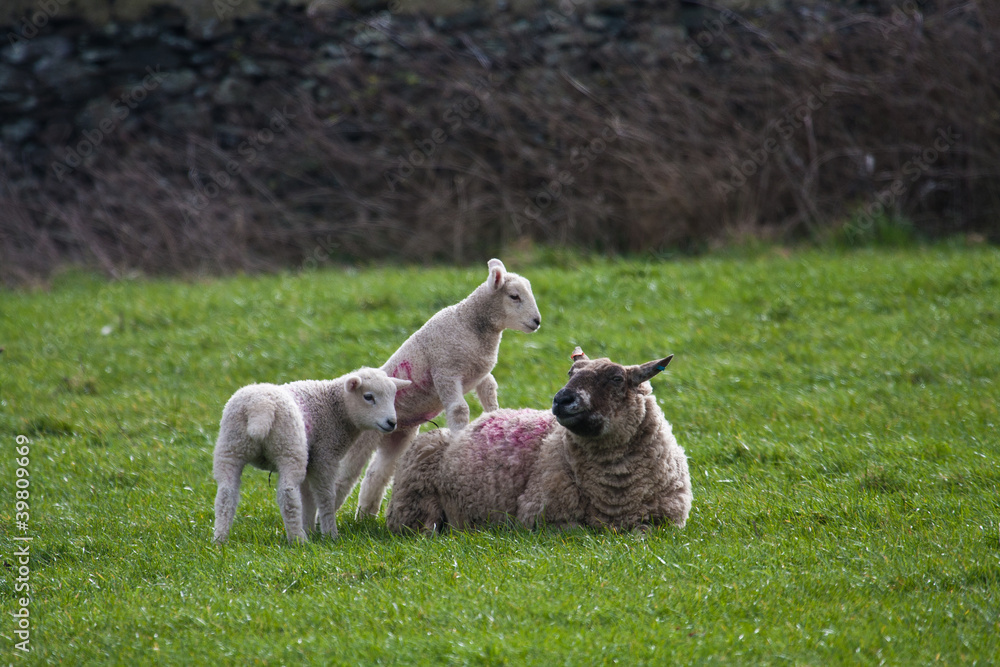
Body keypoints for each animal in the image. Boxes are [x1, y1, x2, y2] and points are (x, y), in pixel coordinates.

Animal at [212, 368, 411, 544]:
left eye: (393, 396)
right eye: (368, 397)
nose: (392, 422)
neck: (335, 408)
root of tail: (259, 407)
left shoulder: (312, 459)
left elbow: (307, 496)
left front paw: (310, 529)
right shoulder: (325, 455)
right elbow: (325, 496)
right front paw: (329, 534)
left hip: (230, 447)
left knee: (226, 494)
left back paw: (220, 540)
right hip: (289, 448)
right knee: (287, 494)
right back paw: (298, 540)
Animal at [333, 258, 542, 519]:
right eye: (514, 296)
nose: (537, 321)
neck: (471, 324)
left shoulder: (481, 374)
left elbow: (490, 393)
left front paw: (495, 417)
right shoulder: (445, 371)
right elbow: (459, 410)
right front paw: (459, 441)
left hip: (397, 436)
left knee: (376, 473)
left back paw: (365, 516)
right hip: (363, 437)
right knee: (344, 476)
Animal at [385, 347, 691, 533]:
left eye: (616, 378)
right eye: (570, 374)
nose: (562, 399)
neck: (615, 489)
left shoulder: (667, 522)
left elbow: (642, 532)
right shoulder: (542, 519)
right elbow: (582, 531)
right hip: (414, 502)